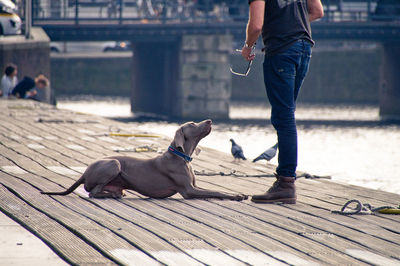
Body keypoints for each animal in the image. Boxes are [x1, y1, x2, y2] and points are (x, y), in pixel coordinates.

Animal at [40, 119, 247, 201]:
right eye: (192, 124)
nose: (210, 120)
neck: (182, 156)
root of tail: (84, 172)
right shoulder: (189, 190)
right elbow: (216, 191)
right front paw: (237, 196)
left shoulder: (195, 186)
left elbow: (217, 190)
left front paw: (238, 194)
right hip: (114, 163)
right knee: (92, 192)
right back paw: (110, 195)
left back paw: (115, 194)